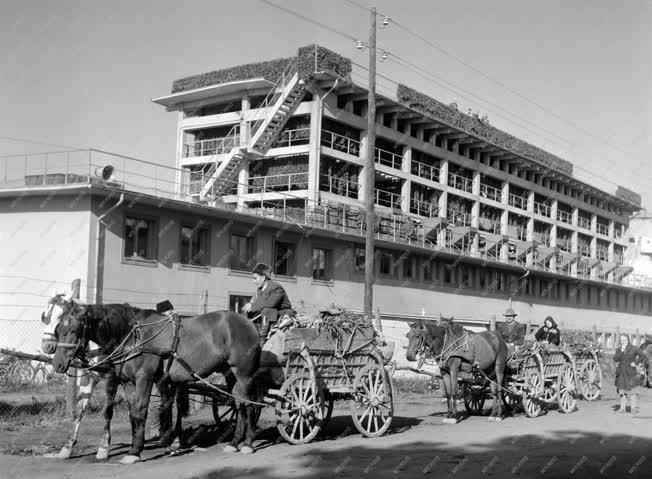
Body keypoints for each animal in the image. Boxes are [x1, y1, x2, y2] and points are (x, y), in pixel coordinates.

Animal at [53, 304, 262, 464]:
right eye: (58, 330)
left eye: (73, 330)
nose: (57, 364)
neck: (133, 336)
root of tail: (250, 323)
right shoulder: (128, 382)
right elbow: (132, 414)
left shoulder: (144, 378)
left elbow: (140, 412)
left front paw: (134, 452)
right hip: (230, 374)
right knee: (239, 405)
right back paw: (234, 443)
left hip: (244, 375)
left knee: (250, 405)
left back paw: (248, 443)